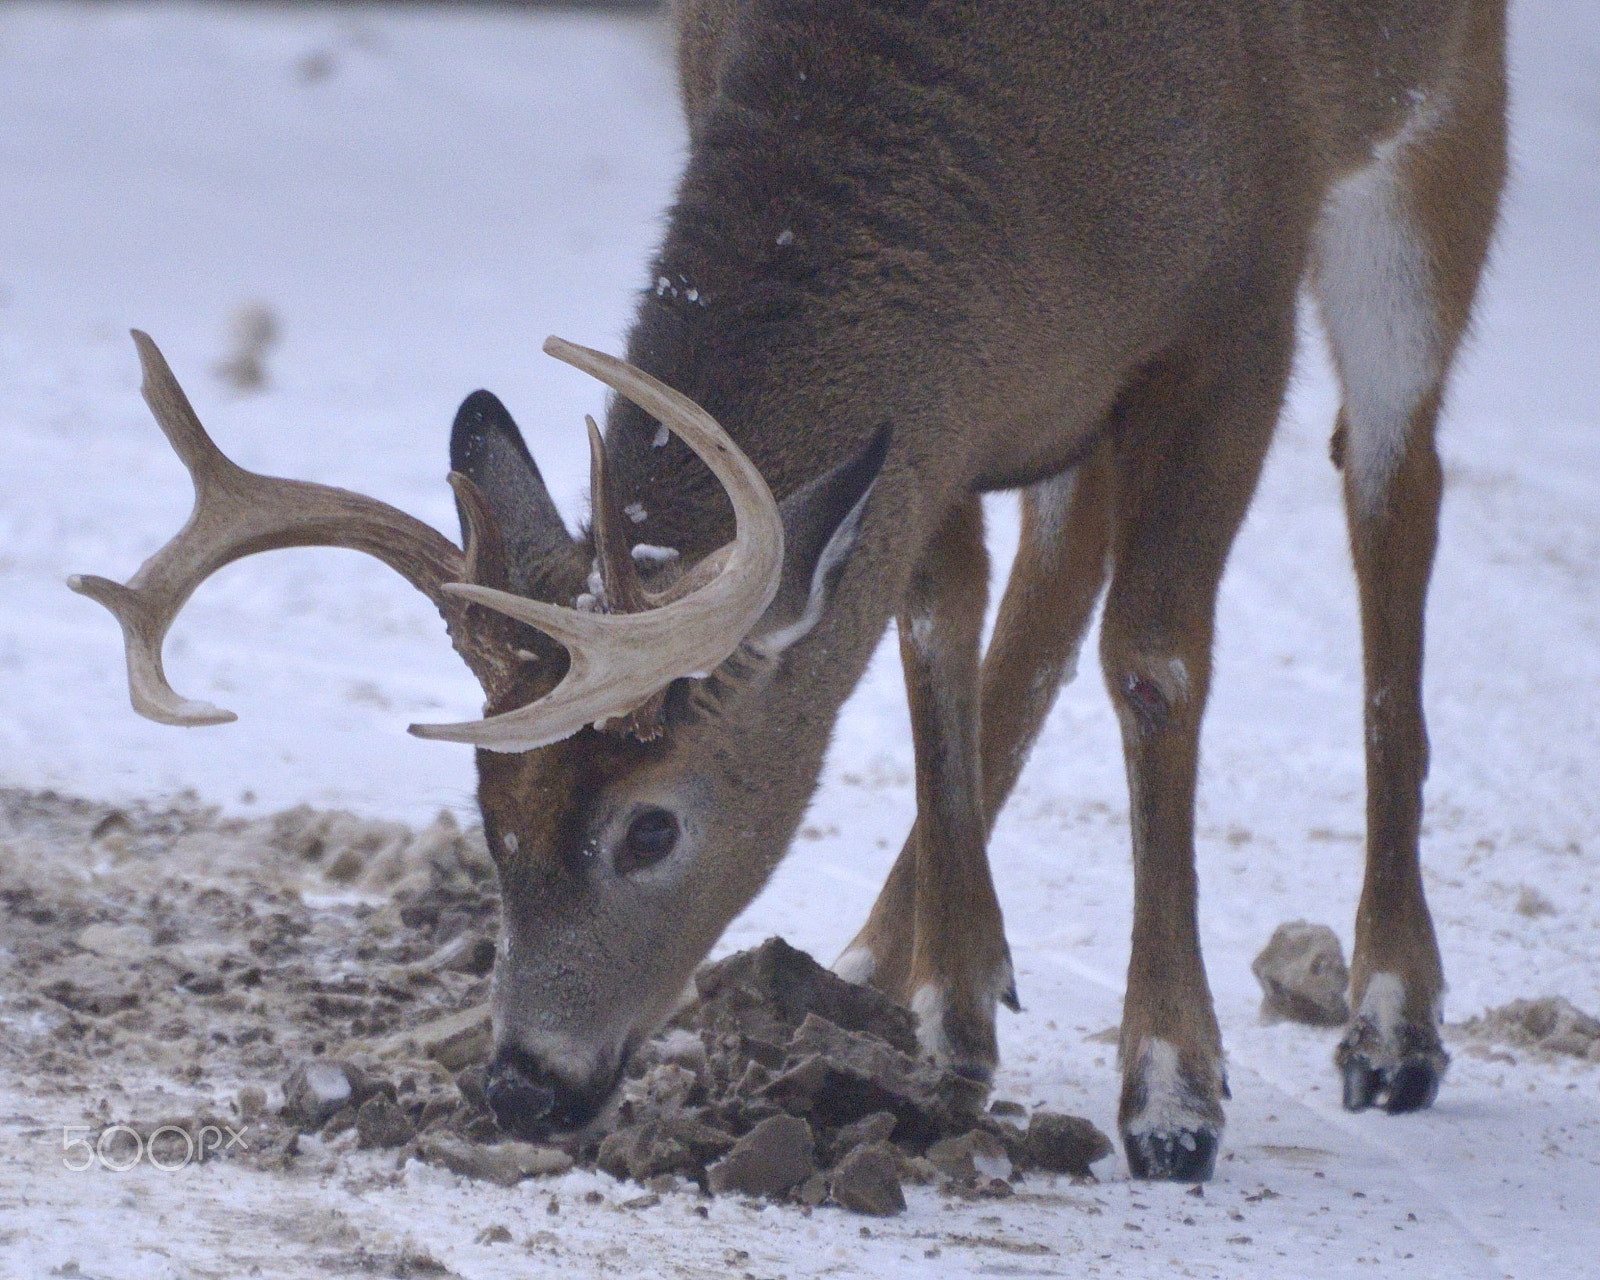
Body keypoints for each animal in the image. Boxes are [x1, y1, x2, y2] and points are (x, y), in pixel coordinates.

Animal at [70, 0, 1506, 1181]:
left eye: (652, 828)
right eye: (485, 807)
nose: (524, 1085)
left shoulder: (1230, 311)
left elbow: (1155, 662)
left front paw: (1171, 1091)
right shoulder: (949, 411)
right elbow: (933, 626)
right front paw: (952, 1015)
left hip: (1437, 128)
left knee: (1393, 490)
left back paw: (1392, 1022)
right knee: (1052, 579)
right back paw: (882, 957)